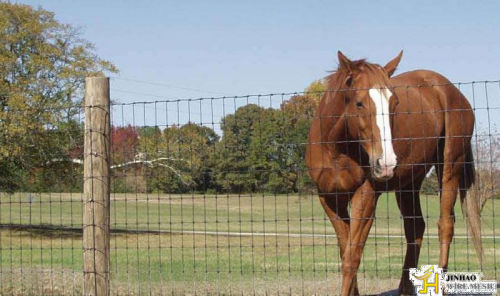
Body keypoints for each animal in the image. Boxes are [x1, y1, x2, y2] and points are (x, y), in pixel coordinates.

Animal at [304, 51, 480, 294]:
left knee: (445, 225)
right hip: (409, 183)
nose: (386, 163)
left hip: (450, 168)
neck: (337, 149)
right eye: (359, 103)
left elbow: (351, 258)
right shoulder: (330, 199)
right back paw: (405, 289)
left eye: (394, 102)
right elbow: (344, 249)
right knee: (415, 228)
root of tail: (453, 92)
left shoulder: (366, 197)